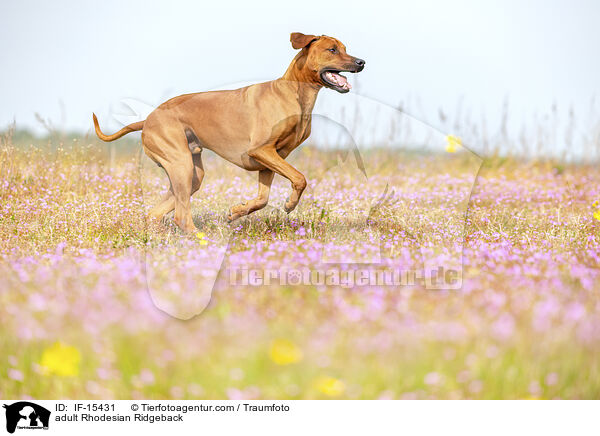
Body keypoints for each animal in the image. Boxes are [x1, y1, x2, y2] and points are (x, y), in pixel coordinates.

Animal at [94, 32, 366, 233]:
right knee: (181, 215)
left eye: (345, 48)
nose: (361, 62)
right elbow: (300, 178)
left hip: (192, 174)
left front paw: (237, 211)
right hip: (181, 164)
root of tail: (147, 119)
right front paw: (289, 204)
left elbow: (262, 199)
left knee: (155, 213)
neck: (294, 94)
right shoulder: (261, 150)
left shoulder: (271, 160)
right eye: (332, 50)